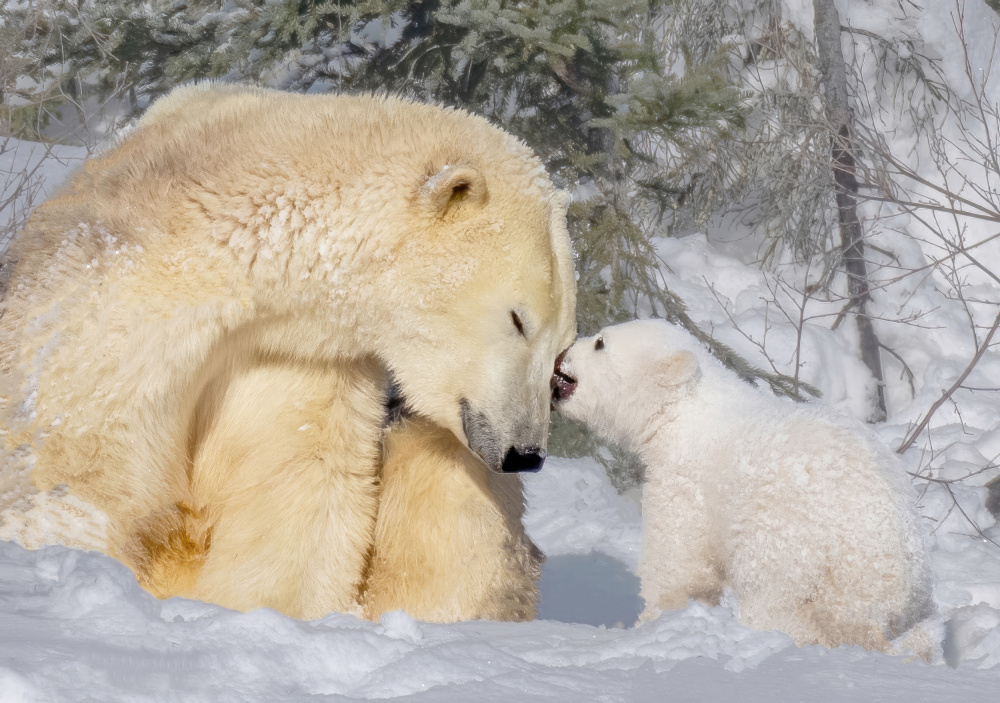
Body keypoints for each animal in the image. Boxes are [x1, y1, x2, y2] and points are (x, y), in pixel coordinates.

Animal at [0, 84, 580, 620]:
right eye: (518, 319)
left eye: (562, 347)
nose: (525, 453)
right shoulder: (109, 306)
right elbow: (79, 468)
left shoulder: (294, 357)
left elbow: (297, 485)